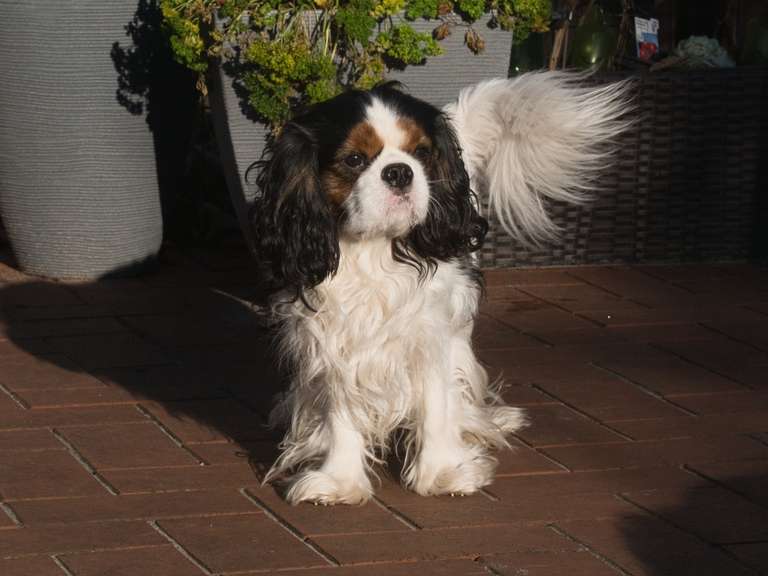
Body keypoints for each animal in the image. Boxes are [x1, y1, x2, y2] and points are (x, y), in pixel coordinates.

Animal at [251, 72, 631, 504]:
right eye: (354, 160)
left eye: (420, 152)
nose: (400, 171)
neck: (374, 249)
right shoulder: (334, 338)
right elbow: (340, 411)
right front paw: (340, 480)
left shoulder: (432, 334)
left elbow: (436, 405)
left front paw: (442, 473)